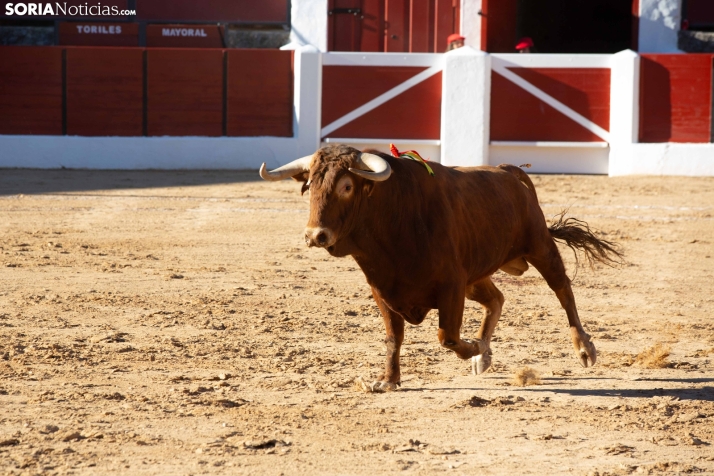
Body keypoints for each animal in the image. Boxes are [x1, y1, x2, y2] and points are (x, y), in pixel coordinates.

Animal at [260, 144, 616, 390]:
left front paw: (473, 347)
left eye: (347, 186)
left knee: (562, 289)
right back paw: (484, 355)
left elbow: (448, 336)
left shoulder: (451, 286)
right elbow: (394, 337)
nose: (315, 235)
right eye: (309, 186)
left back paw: (584, 348)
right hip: (476, 273)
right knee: (496, 298)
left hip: (539, 246)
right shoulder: (383, 289)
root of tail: (507, 171)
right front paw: (388, 381)